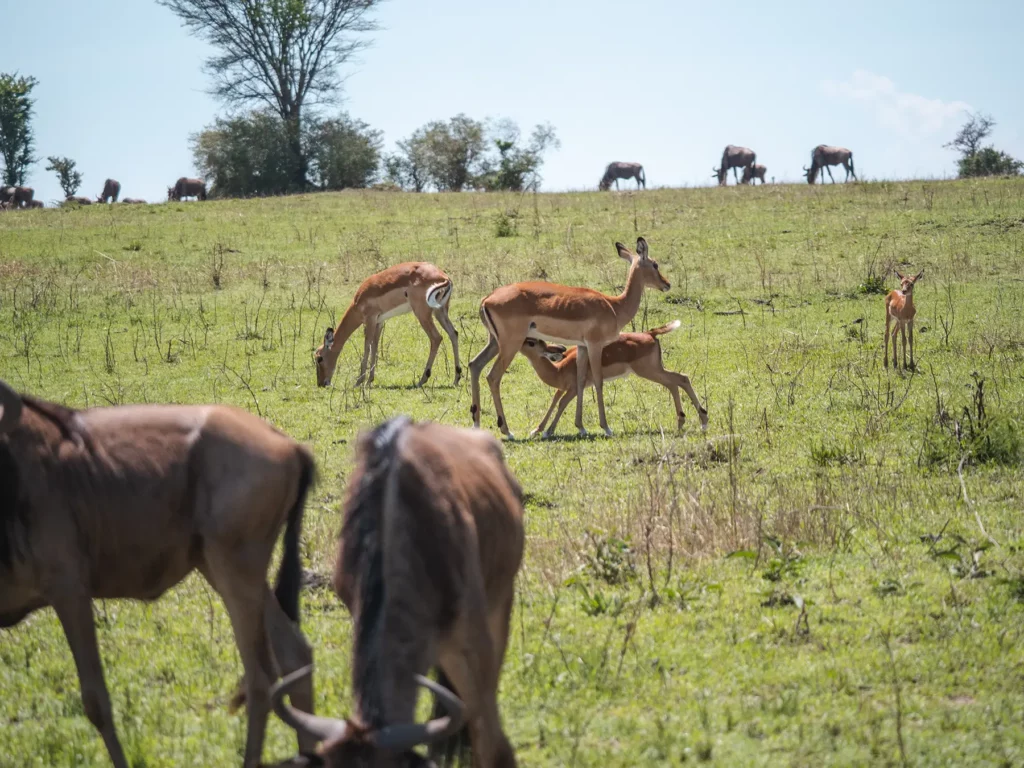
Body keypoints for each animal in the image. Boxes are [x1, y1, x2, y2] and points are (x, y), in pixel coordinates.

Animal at [0, 380, 318, 768]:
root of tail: (288, 444)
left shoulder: (69, 591)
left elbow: (96, 701)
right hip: (226, 572)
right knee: (294, 656)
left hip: (235, 573)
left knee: (261, 680)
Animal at [314, 262, 460, 389]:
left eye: (319, 358)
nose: (321, 383)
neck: (359, 300)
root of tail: (444, 277)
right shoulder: (379, 322)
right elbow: (375, 347)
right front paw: (369, 381)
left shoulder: (370, 320)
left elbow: (367, 347)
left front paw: (358, 382)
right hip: (440, 312)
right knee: (453, 333)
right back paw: (456, 379)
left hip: (423, 314)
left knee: (436, 338)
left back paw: (421, 380)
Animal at [469, 237, 671, 439]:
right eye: (655, 264)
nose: (667, 284)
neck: (614, 306)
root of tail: (487, 299)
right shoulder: (595, 345)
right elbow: (598, 381)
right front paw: (606, 428)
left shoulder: (582, 347)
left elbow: (580, 381)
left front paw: (580, 427)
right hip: (510, 344)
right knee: (493, 376)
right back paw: (507, 431)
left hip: (495, 342)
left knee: (474, 365)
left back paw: (477, 424)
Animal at [519, 321, 708, 438]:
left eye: (531, 342)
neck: (560, 369)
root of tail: (650, 334)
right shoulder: (562, 388)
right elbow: (553, 402)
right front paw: (537, 430)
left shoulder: (573, 388)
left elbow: (561, 404)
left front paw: (549, 431)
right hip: (655, 371)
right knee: (675, 382)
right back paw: (683, 422)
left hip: (649, 371)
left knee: (681, 379)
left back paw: (703, 422)